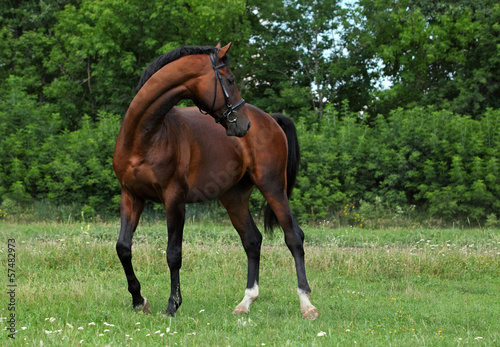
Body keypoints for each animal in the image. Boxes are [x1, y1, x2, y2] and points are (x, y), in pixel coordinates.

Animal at [112, 42, 318, 320]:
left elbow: (173, 253)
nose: (244, 124)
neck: (145, 135)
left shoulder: (174, 199)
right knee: (252, 241)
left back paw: (306, 304)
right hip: (234, 197)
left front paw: (172, 305)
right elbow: (123, 247)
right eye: (230, 80)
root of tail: (270, 119)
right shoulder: (131, 195)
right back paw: (245, 302)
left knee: (293, 236)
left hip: (273, 187)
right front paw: (138, 300)